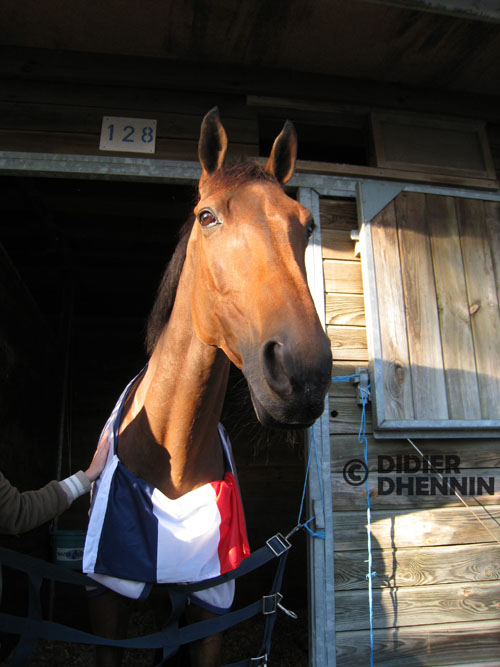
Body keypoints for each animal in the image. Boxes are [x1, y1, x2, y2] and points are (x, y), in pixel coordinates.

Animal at [89, 107, 332, 664]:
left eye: (307, 224)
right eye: (206, 217)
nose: (303, 371)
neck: (171, 458)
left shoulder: (212, 603)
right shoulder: (109, 598)